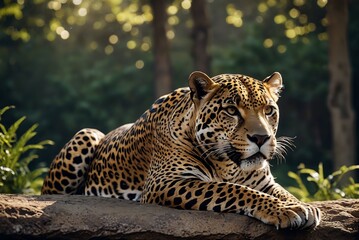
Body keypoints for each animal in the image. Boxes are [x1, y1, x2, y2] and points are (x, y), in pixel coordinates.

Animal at [40, 71, 322, 229]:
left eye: (269, 110)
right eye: (232, 110)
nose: (262, 138)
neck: (228, 165)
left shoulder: (264, 182)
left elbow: (282, 192)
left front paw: (301, 206)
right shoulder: (167, 181)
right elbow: (234, 190)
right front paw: (285, 211)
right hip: (88, 134)